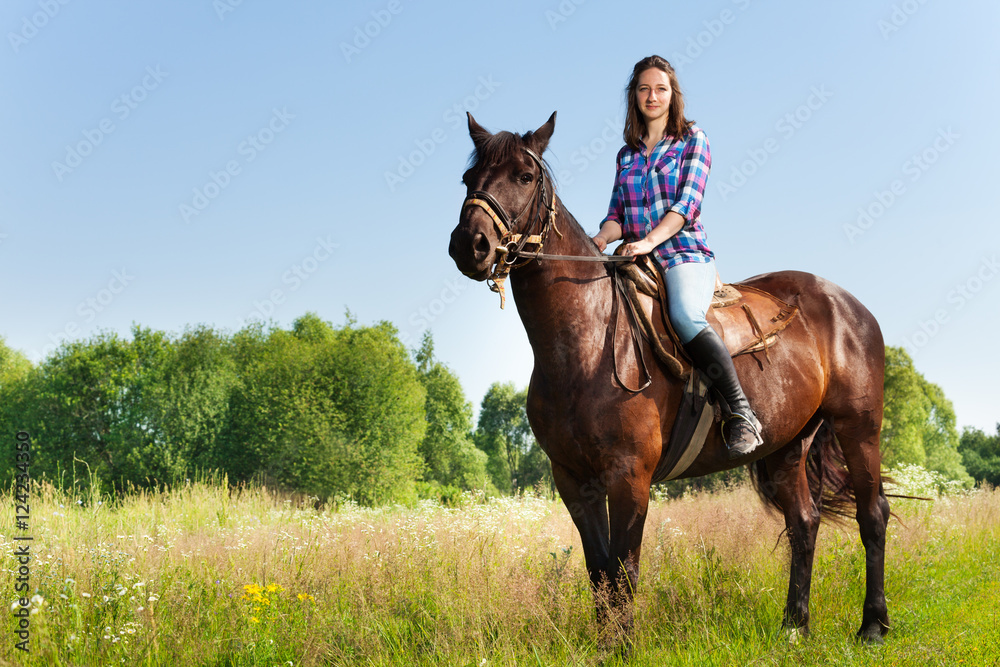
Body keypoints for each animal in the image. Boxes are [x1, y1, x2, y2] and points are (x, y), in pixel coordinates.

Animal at [448, 112, 892, 644]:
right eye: (468, 179)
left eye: (525, 176)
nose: (469, 244)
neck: (587, 343)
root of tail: (847, 304)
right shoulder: (574, 480)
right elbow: (599, 570)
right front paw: (606, 644)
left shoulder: (629, 477)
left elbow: (624, 570)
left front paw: (621, 647)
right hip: (787, 446)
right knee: (804, 523)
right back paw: (793, 627)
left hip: (858, 429)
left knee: (873, 516)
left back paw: (873, 626)